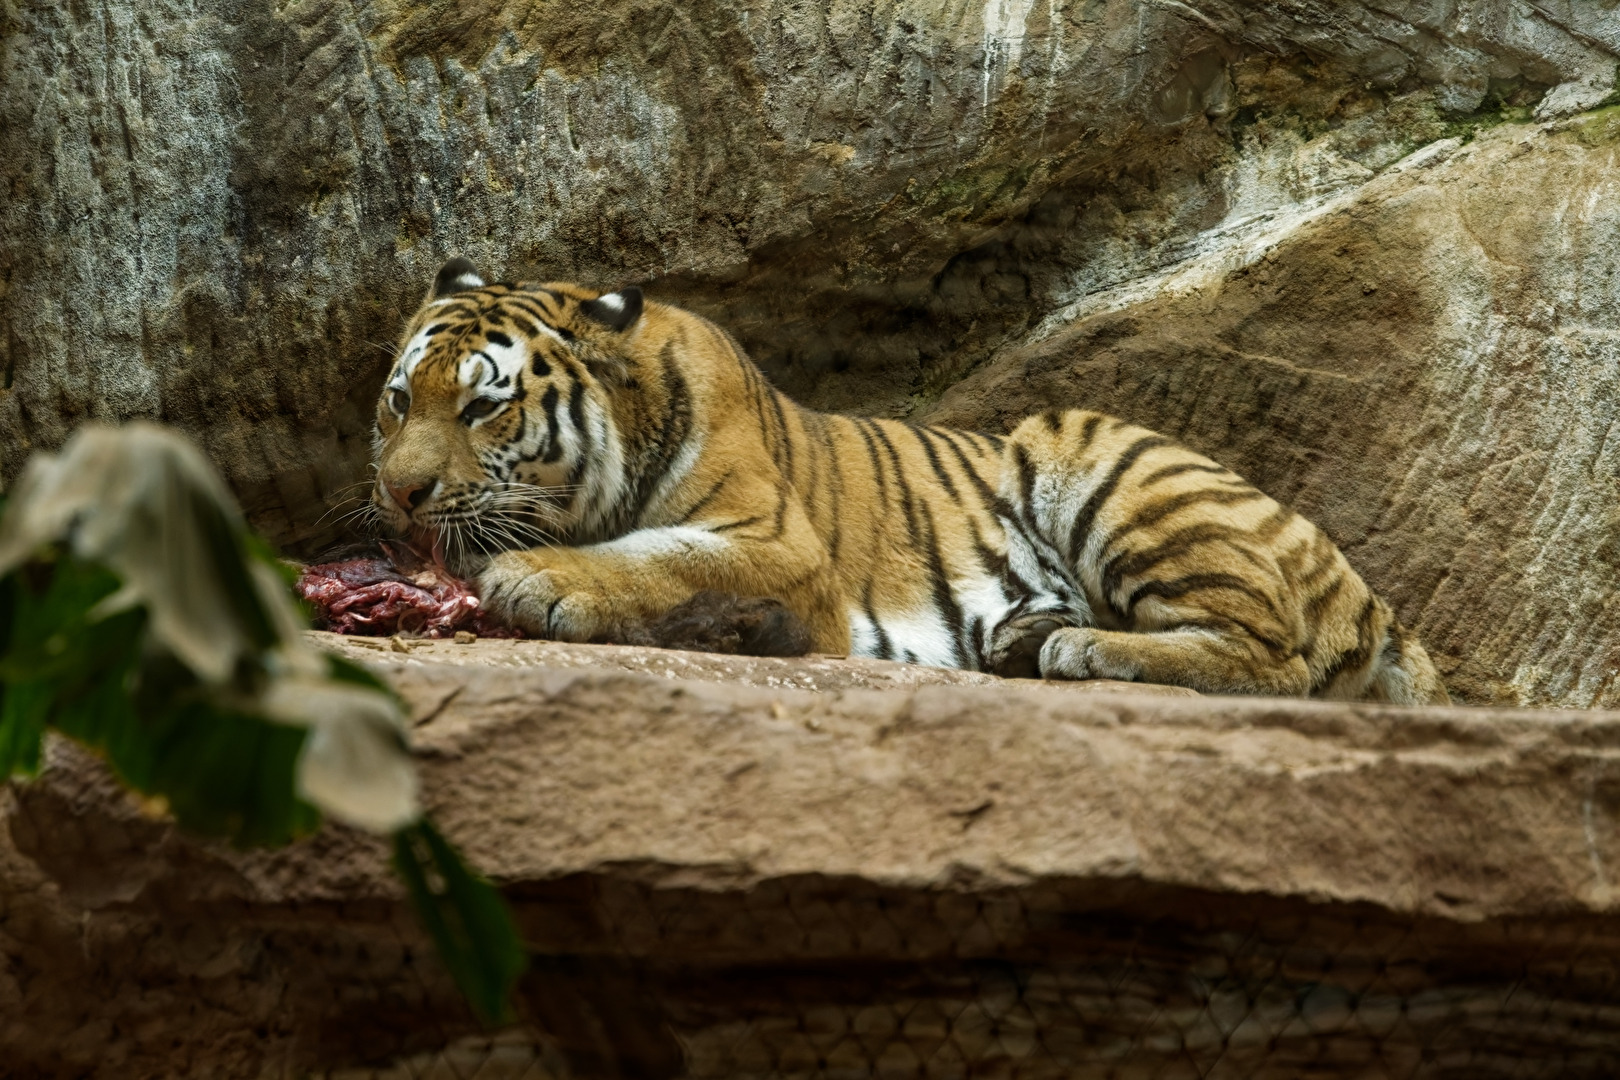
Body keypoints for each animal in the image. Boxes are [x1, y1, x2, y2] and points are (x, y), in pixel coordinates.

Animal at [368, 256, 1449, 703]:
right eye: (399, 402)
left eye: (481, 408)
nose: (398, 496)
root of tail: (1372, 596)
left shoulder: (778, 545)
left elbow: (655, 557)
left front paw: (538, 579)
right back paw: (1031, 642)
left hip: (1093, 450)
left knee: (1279, 660)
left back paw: (1086, 651)